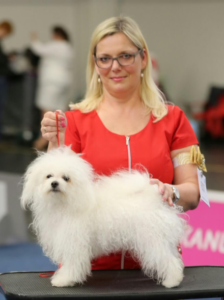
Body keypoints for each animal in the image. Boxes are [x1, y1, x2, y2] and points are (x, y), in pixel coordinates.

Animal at [21, 147, 186, 288]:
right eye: (48, 176)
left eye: (66, 178)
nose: (54, 183)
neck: (66, 203)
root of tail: (153, 198)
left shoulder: (74, 243)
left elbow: (71, 264)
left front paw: (64, 280)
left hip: (153, 241)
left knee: (168, 260)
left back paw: (172, 281)